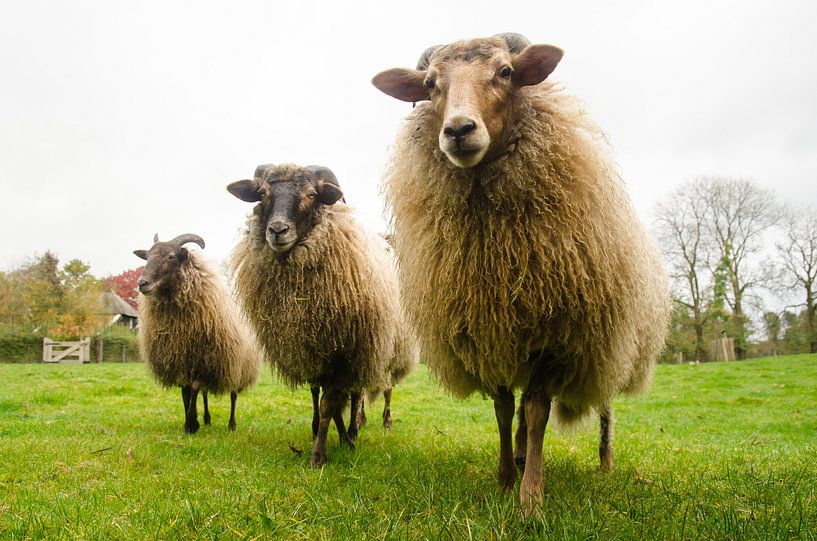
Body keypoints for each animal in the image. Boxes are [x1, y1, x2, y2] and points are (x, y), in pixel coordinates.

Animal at [134, 231, 260, 430]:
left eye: (171, 256)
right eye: (147, 256)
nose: (142, 283)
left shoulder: (202, 360)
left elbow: (193, 388)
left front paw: (192, 423)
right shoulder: (180, 361)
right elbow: (186, 392)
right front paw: (190, 421)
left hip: (238, 366)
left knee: (233, 395)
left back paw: (231, 424)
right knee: (205, 392)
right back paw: (207, 419)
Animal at [225, 162, 414, 466]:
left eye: (312, 194)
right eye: (262, 193)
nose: (277, 230)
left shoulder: (344, 354)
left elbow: (329, 404)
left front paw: (320, 454)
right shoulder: (311, 351)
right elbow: (321, 398)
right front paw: (327, 433)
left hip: (376, 351)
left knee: (368, 391)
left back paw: (366, 426)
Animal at [372, 33, 672, 516]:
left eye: (505, 72)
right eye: (430, 84)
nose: (458, 130)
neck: (494, 250)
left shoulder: (555, 338)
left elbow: (535, 411)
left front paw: (531, 499)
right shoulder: (487, 331)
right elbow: (503, 408)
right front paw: (504, 479)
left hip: (610, 340)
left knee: (603, 405)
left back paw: (604, 461)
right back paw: (517, 454)